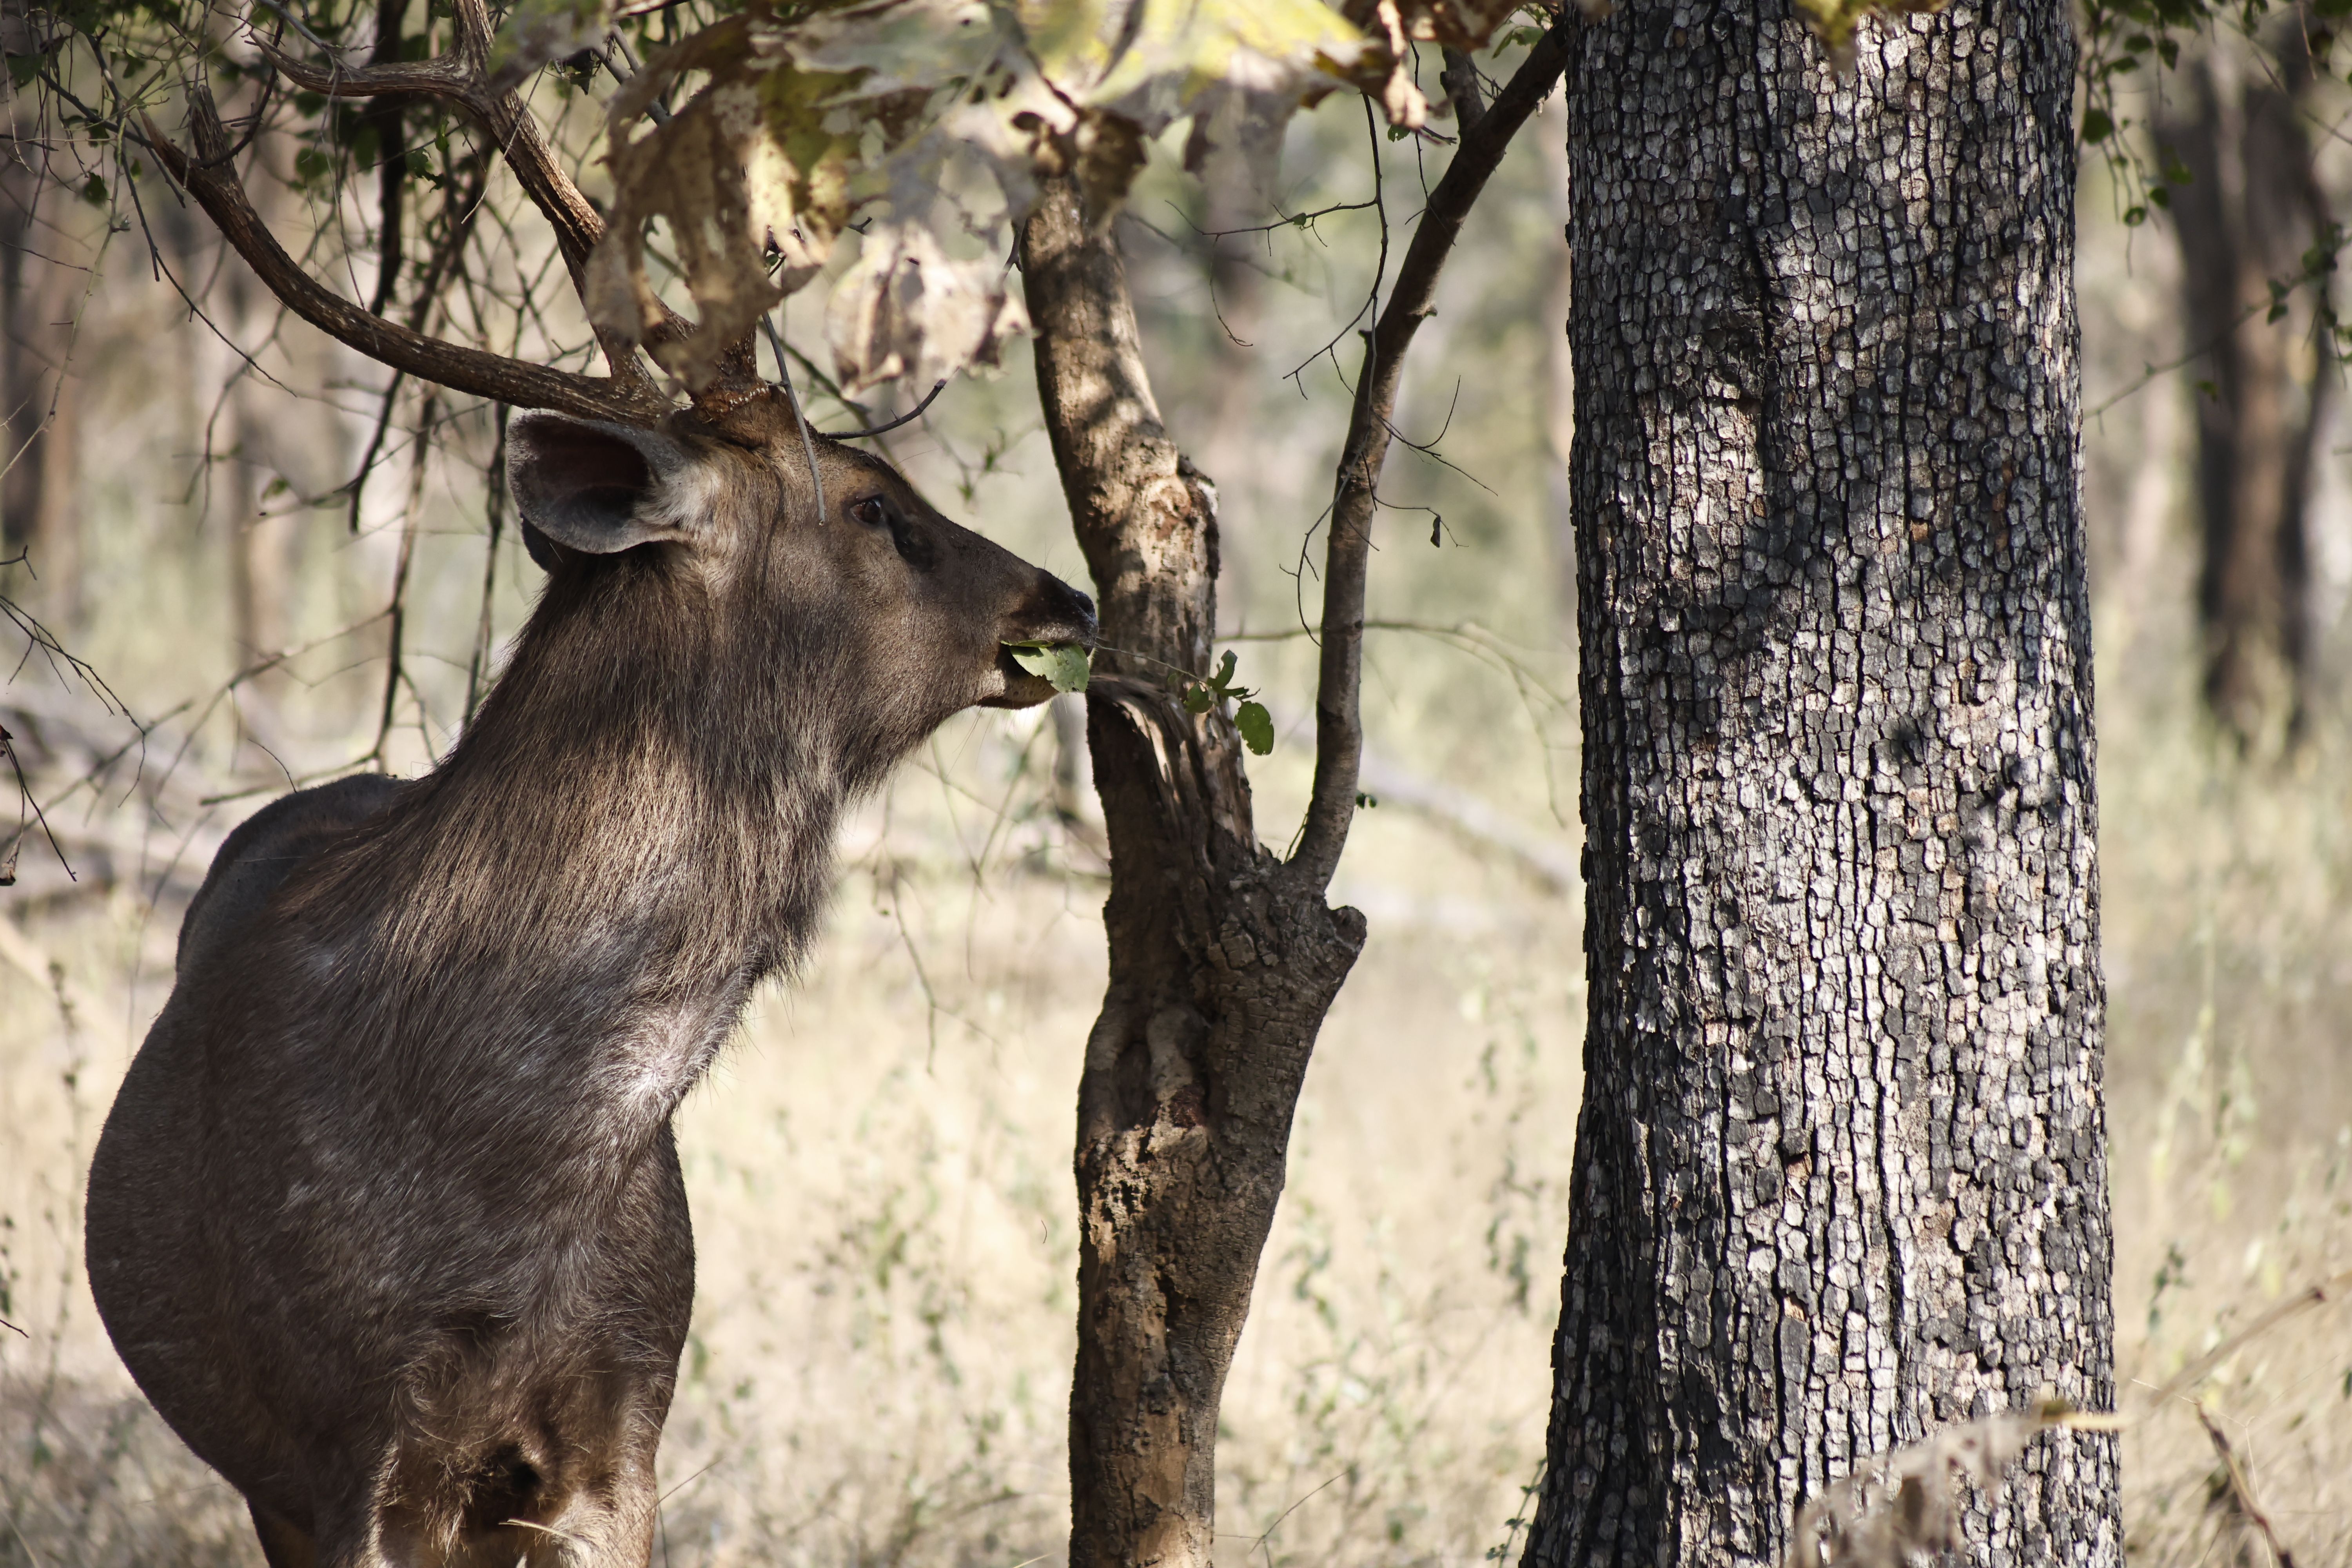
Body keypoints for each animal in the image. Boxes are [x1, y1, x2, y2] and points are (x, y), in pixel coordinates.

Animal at [81, 19, 1095, 1566]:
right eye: (876, 506)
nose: (1066, 596)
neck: (521, 1175)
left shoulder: (623, 1417)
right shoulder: (337, 1451)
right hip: (265, 1469)